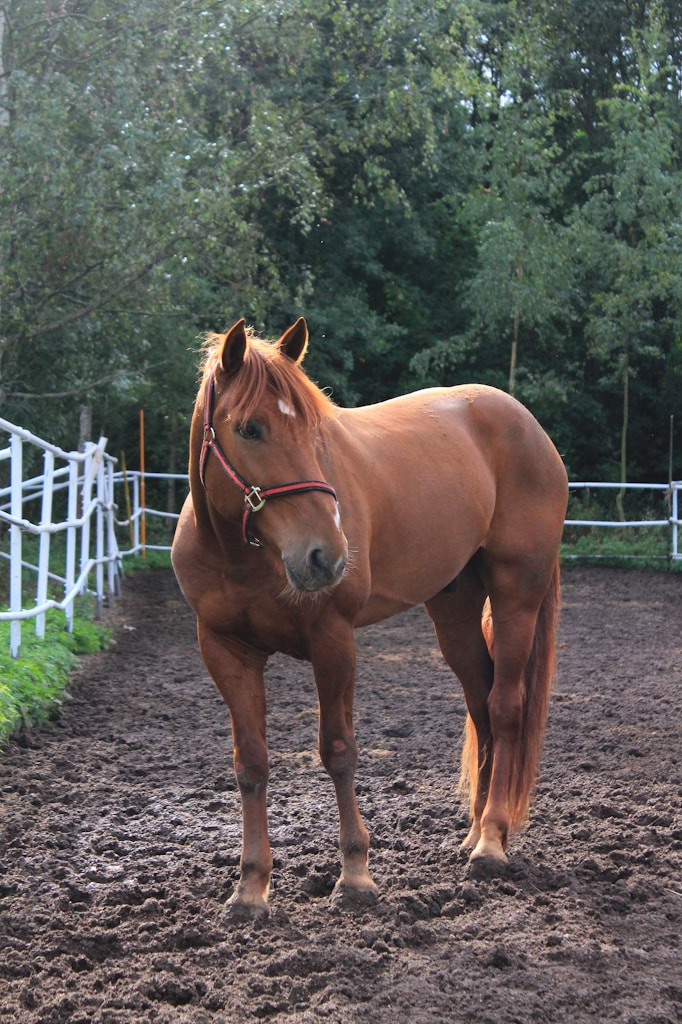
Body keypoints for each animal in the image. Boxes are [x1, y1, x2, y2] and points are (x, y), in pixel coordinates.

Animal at [171, 316, 569, 917]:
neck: (244, 554)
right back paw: (474, 832)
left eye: (315, 431)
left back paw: (492, 843)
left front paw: (355, 876)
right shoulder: (225, 651)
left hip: (515, 596)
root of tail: (525, 422)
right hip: (454, 609)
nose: (326, 555)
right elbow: (251, 764)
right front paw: (250, 888)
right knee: (480, 704)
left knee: (504, 709)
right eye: (249, 429)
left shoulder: (333, 641)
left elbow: (338, 752)